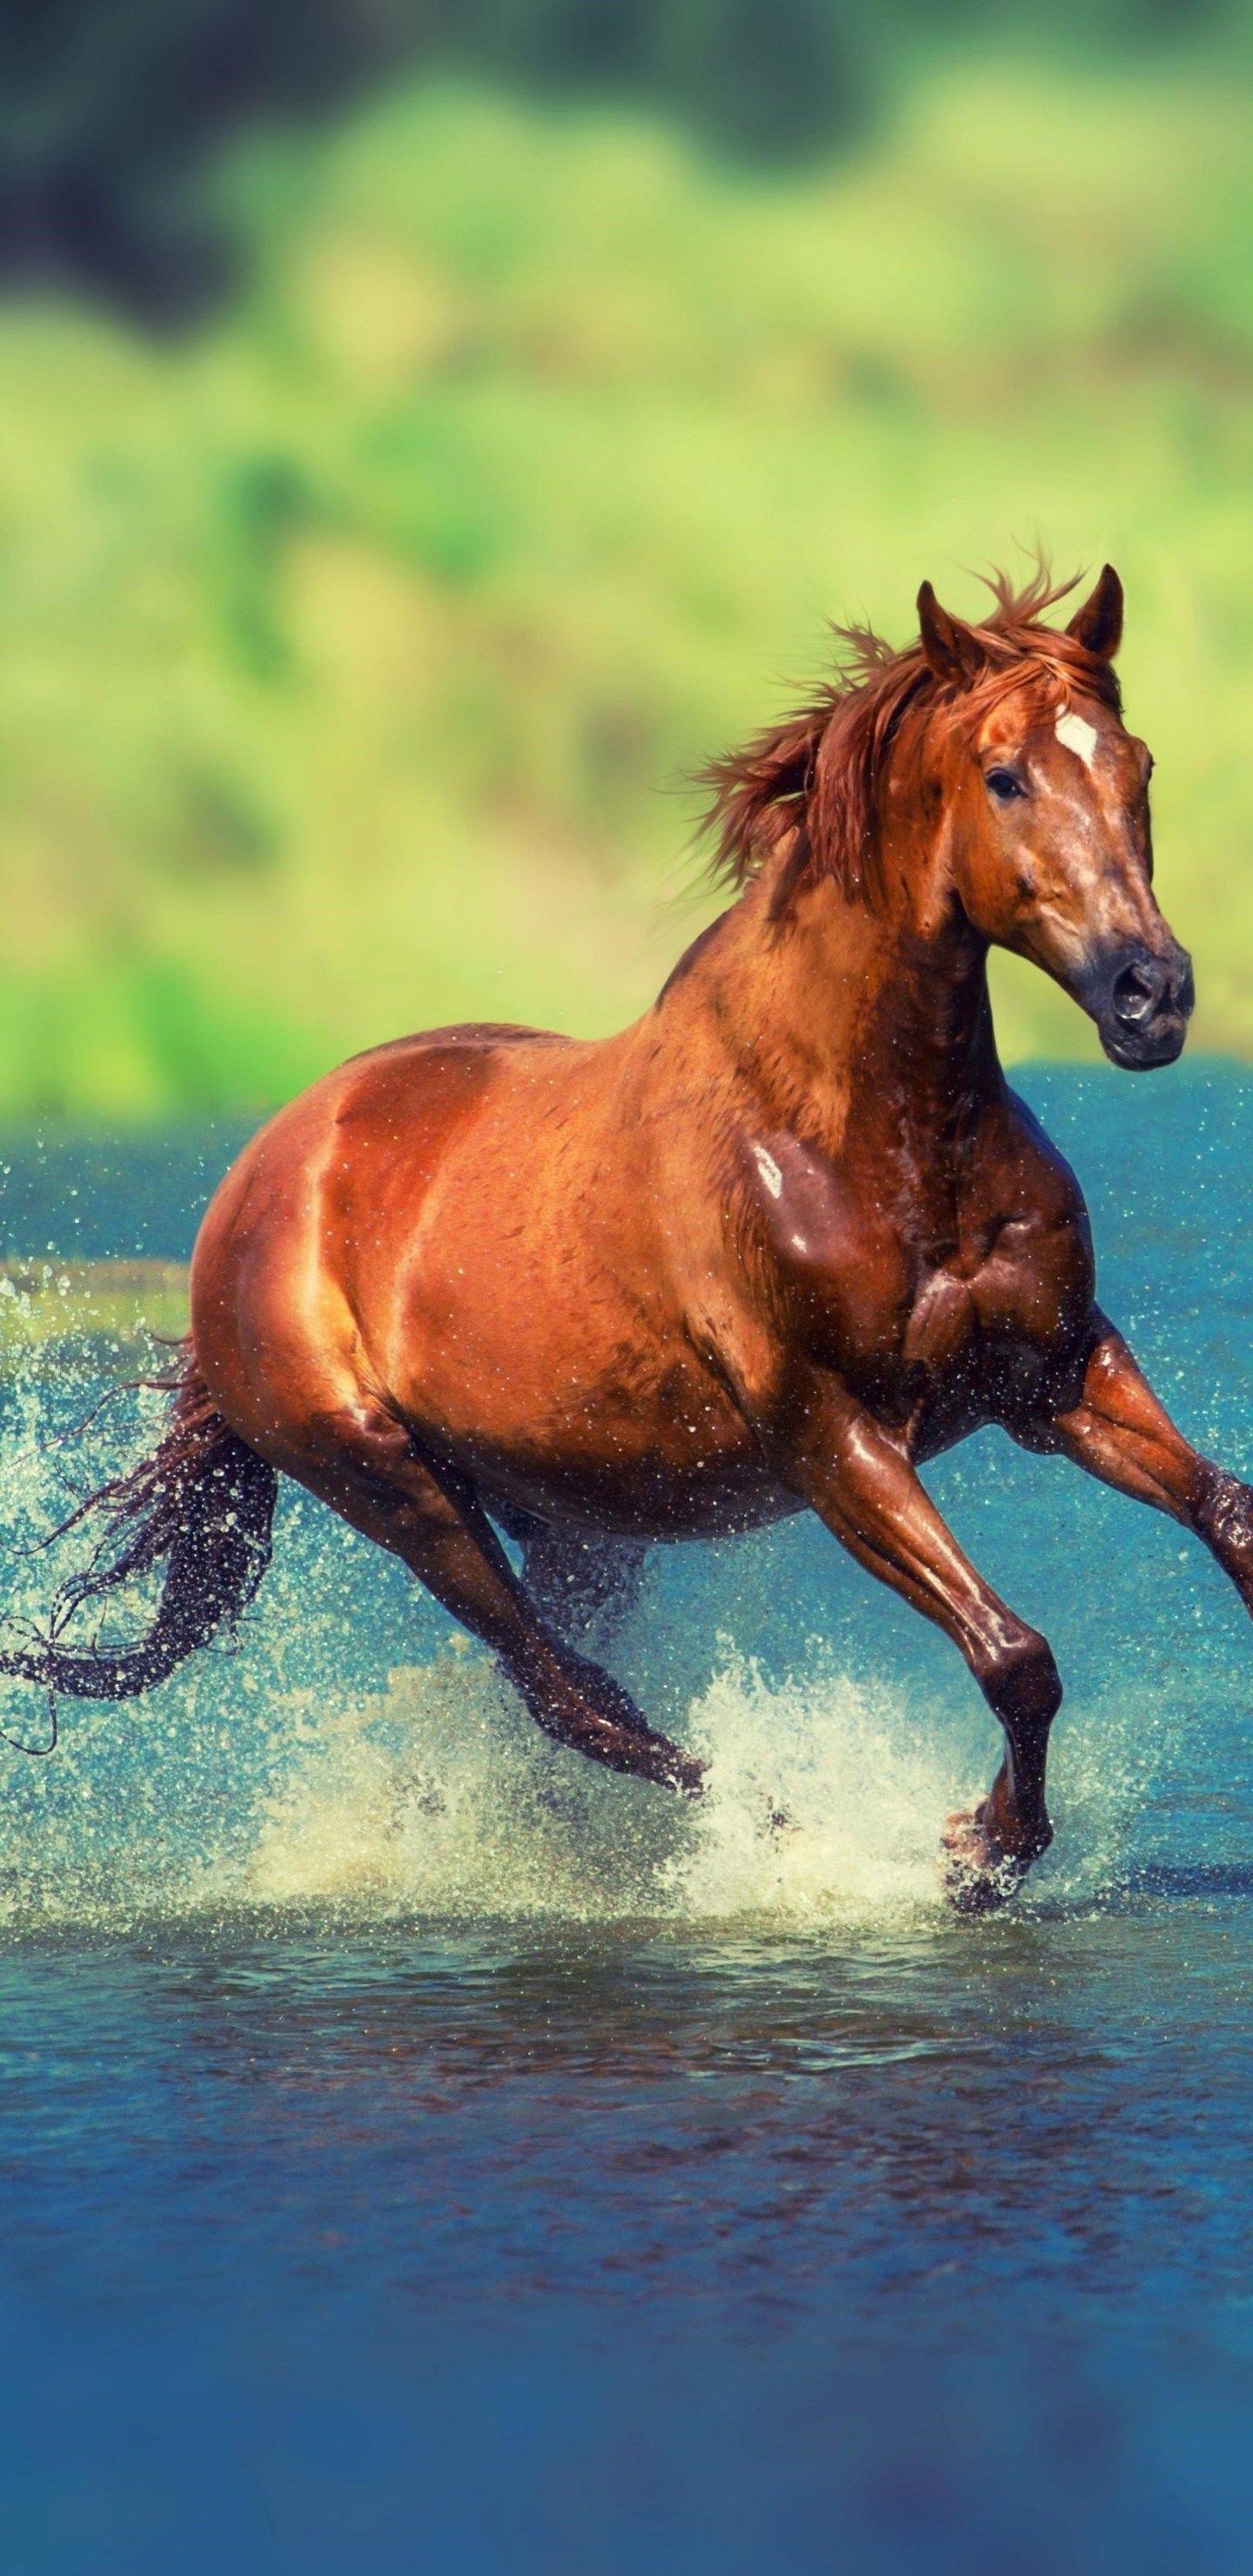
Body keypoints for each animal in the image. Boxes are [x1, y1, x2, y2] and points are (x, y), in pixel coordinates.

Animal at [5, 559, 1247, 1910]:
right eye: (1006, 773)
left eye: (1136, 762)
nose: (1151, 995)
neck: (869, 1130)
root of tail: (258, 1182)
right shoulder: (831, 1432)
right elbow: (1014, 1651)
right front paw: (979, 1850)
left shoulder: (1056, 1371)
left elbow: (1227, 1518)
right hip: (387, 1478)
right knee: (566, 1693)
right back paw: (775, 1826)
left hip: (571, 1514)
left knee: (554, 1690)